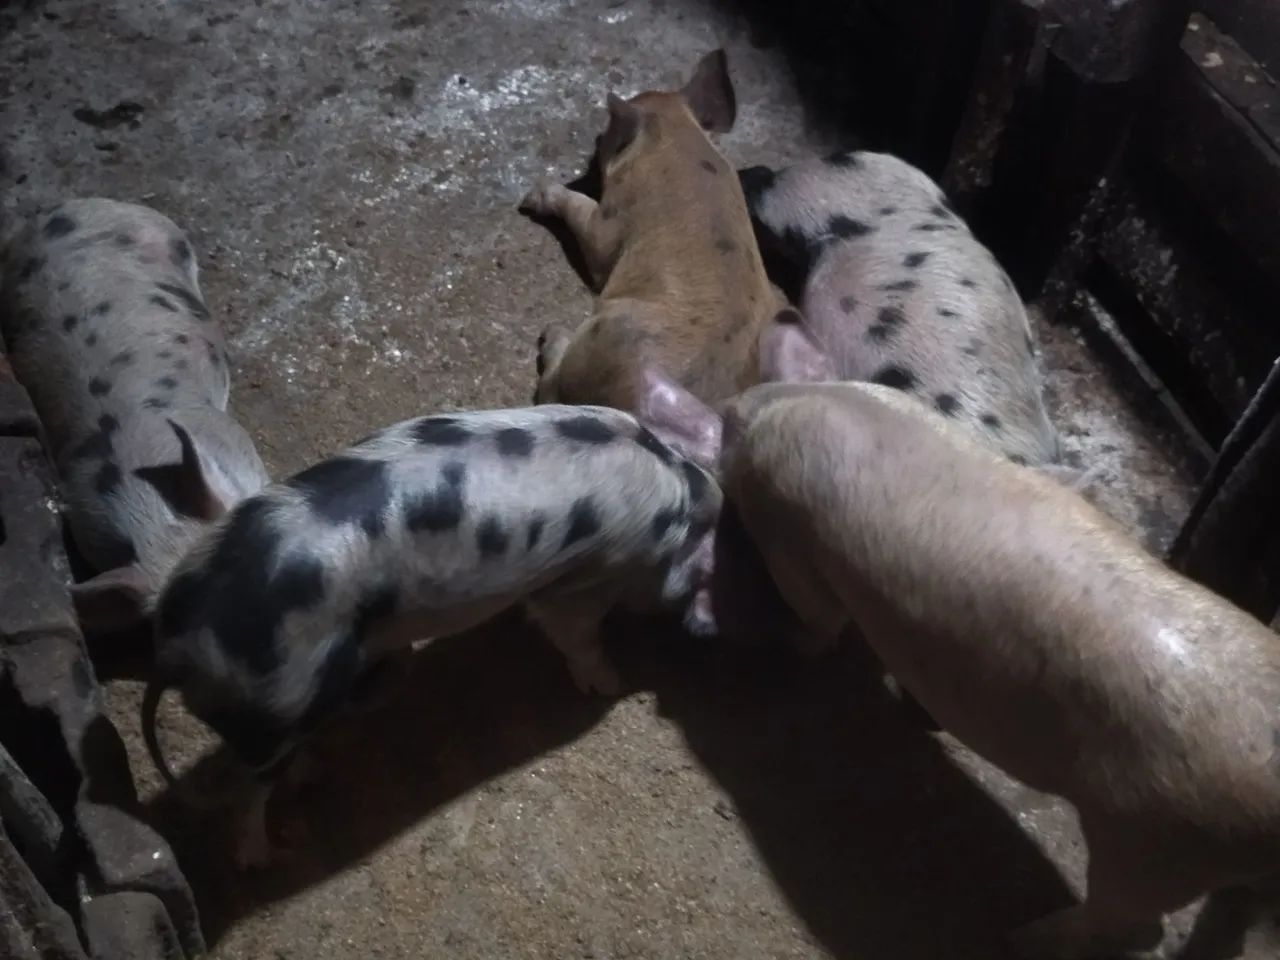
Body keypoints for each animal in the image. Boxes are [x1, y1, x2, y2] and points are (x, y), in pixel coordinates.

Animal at [144, 403, 721, 868]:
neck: (676, 493)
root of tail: (177, 642)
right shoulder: (585, 578)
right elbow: (573, 630)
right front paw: (609, 683)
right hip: (280, 700)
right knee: (249, 790)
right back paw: (265, 855)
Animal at [519, 49, 788, 414]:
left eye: (609, 134)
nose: (596, 139)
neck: (675, 135)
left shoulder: (611, 220)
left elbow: (587, 222)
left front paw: (532, 197)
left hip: (607, 334)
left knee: (551, 389)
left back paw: (551, 332)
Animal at [713, 378, 1280, 958]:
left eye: (730, 432)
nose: (728, 404)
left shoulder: (790, 537)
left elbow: (815, 616)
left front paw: (785, 645)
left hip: (1159, 843)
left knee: (1131, 923)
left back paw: (1022, 935)